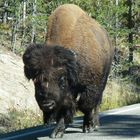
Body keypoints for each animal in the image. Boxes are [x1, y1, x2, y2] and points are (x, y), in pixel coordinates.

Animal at [22, 3, 114, 138]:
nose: (47, 104)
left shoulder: (90, 87)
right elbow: (64, 109)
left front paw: (88, 126)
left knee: (97, 103)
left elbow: (86, 106)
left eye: (62, 79)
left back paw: (95, 124)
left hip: (103, 80)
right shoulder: (67, 94)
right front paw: (57, 132)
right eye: (36, 81)